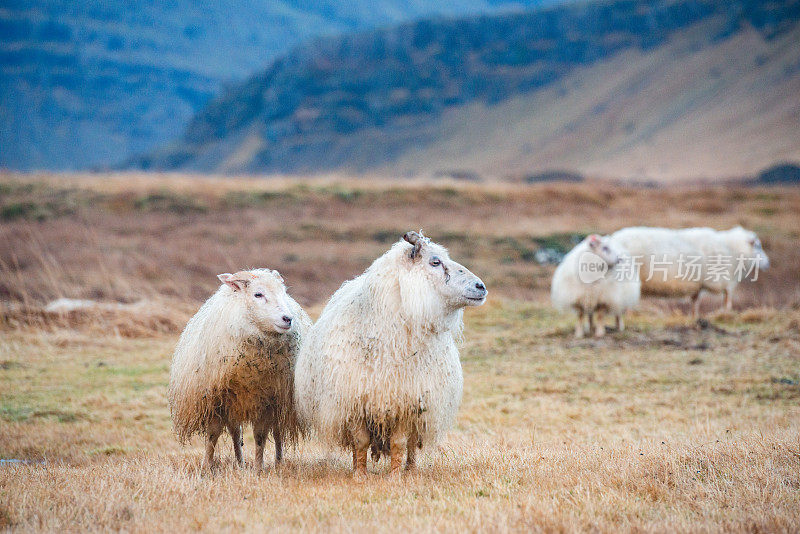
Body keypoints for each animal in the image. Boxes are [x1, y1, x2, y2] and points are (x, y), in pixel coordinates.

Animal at [166, 270, 310, 472]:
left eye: (283, 292)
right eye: (258, 294)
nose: (287, 319)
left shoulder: (267, 399)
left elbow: (260, 436)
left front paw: (258, 468)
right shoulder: (216, 399)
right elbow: (213, 434)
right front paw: (206, 466)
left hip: (279, 400)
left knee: (277, 431)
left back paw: (279, 461)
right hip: (233, 404)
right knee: (236, 433)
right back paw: (240, 462)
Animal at [290, 232, 484, 480]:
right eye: (435, 262)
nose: (481, 287)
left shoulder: (406, 403)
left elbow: (399, 443)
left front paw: (394, 476)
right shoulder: (354, 402)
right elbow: (361, 442)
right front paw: (359, 474)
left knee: (411, 445)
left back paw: (410, 469)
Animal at [612, 226, 768, 318]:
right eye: (758, 246)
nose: (768, 263)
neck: (731, 247)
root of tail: (613, 239)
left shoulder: (698, 284)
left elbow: (695, 301)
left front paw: (694, 317)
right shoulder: (724, 280)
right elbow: (728, 300)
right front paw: (727, 314)